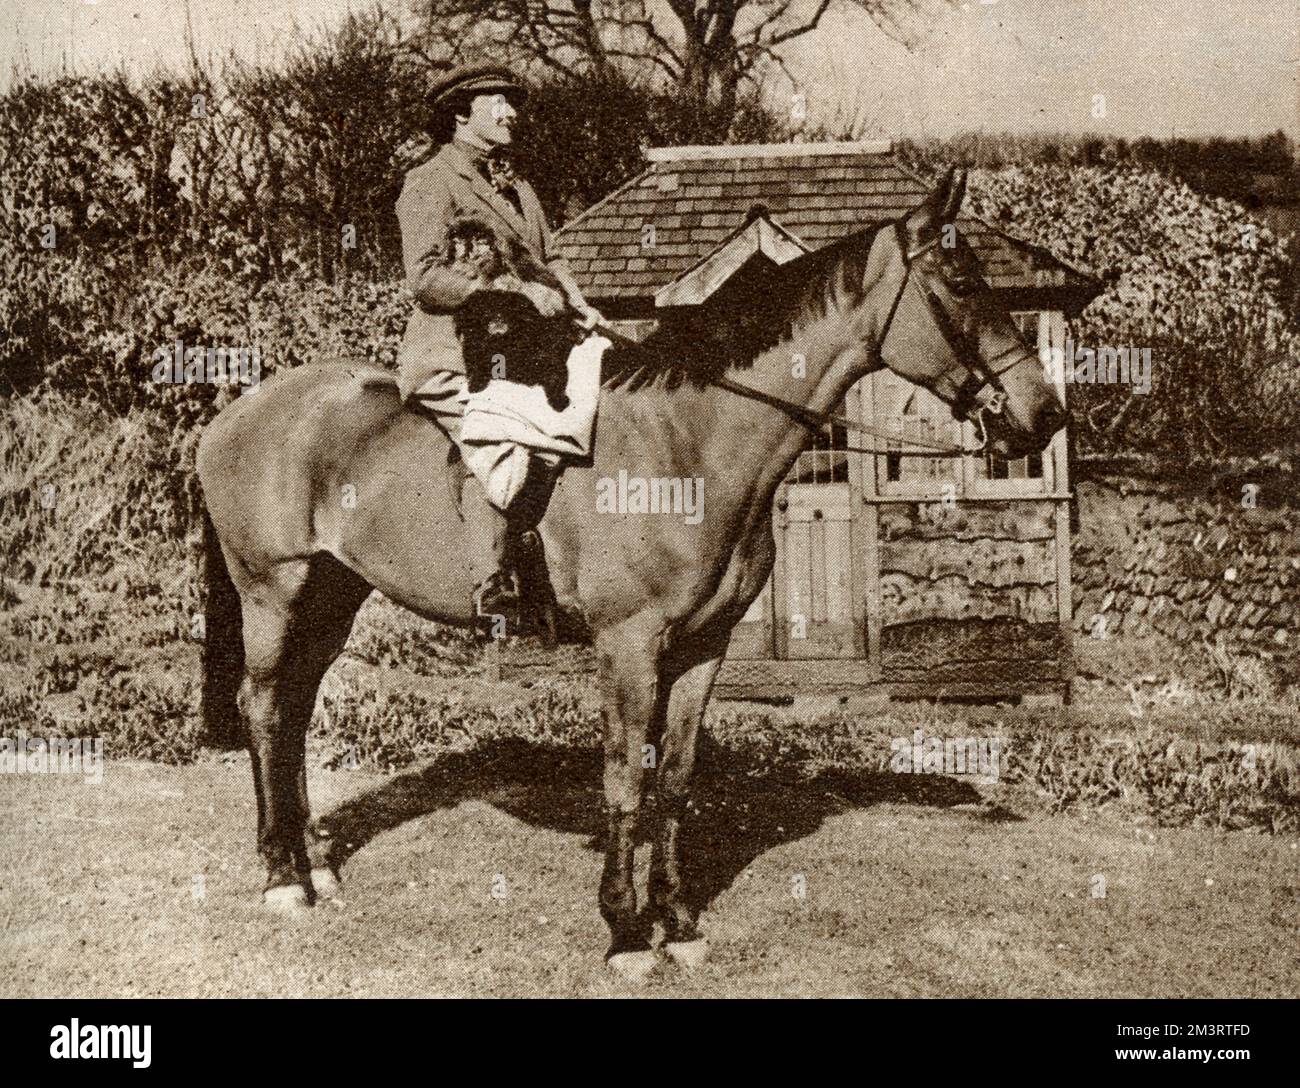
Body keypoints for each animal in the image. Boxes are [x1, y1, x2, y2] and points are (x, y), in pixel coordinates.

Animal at [196, 168, 1067, 977]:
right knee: (264, 707)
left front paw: (676, 923)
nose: (1045, 413)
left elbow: (674, 781)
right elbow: (622, 781)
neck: (689, 441)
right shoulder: (628, 646)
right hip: (272, 591)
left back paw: (313, 863)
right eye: (962, 284)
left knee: (296, 711)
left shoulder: (705, 647)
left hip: (333, 593)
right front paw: (623, 931)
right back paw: (282, 877)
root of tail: (235, 411)